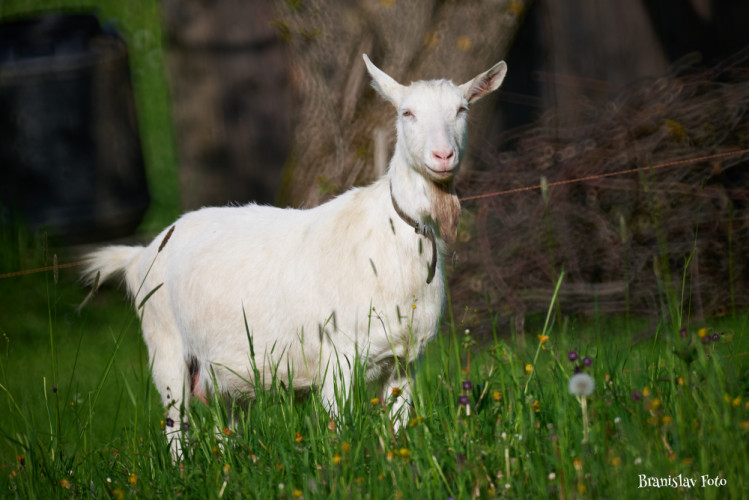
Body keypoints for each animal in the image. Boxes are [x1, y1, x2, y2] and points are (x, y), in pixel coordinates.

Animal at [82, 55, 506, 458]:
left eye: (462, 109)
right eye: (407, 113)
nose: (443, 155)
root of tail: (141, 253)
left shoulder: (407, 360)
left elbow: (400, 427)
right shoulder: (339, 355)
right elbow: (339, 429)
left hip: (222, 373)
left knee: (224, 427)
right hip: (165, 344)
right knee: (175, 427)